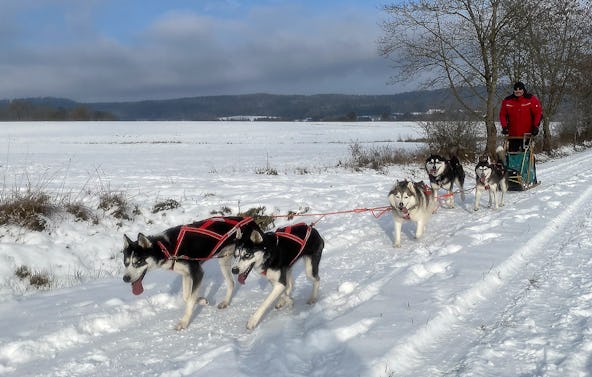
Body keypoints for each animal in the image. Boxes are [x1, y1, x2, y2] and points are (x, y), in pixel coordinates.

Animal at [121, 216, 260, 330]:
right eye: (126, 263)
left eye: (139, 261)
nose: (125, 278)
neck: (166, 248)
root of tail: (251, 220)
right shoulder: (186, 275)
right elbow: (187, 297)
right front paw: (202, 300)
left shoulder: (197, 273)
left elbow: (190, 300)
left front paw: (184, 322)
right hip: (224, 261)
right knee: (231, 283)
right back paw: (225, 302)